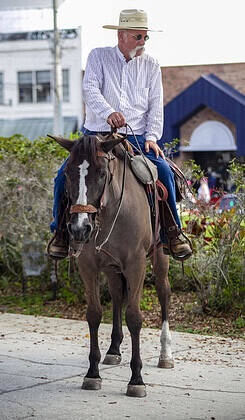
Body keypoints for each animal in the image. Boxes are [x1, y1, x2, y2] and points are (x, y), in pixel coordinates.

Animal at [50, 134, 174, 398]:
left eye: (102, 173)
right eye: (67, 173)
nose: (79, 228)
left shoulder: (136, 264)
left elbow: (135, 317)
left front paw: (136, 380)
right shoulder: (87, 265)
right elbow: (94, 314)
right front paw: (92, 374)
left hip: (160, 256)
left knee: (163, 292)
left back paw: (165, 353)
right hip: (111, 266)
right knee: (117, 294)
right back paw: (113, 350)